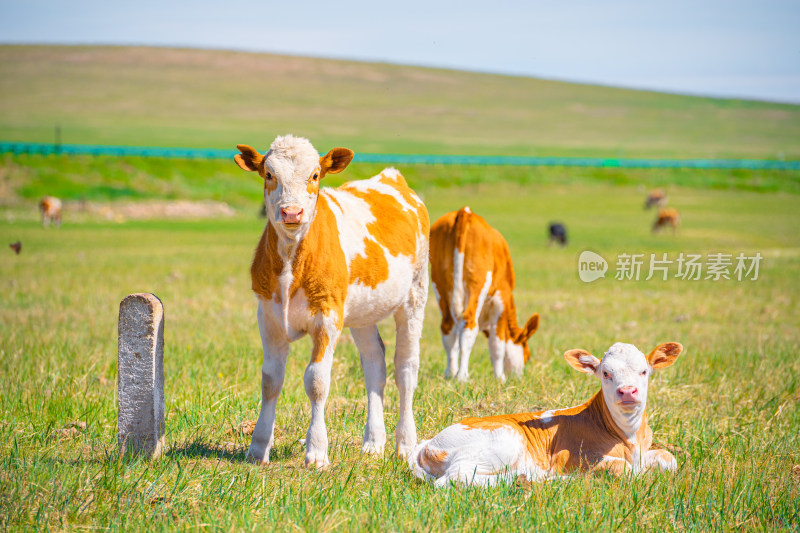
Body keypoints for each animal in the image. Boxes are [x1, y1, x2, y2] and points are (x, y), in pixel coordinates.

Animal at [234, 135, 428, 468]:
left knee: (405, 369)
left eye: (315, 175)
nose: (292, 213)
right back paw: (373, 443)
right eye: (269, 174)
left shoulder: (327, 317)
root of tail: (391, 178)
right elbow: (270, 380)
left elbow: (316, 381)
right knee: (374, 364)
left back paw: (405, 444)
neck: (292, 259)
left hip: (415, 295)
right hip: (362, 312)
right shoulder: (268, 317)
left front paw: (316, 451)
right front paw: (258, 448)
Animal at [412, 340, 680, 486]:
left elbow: (669, 459)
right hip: (503, 441)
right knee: (455, 478)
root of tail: (427, 443)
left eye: (644, 371)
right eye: (605, 373)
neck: (628, 437)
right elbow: (625, 470)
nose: (627, 391)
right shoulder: (570, 458)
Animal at [432, 206, 536, 380]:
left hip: (439, 282)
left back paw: (450, 373)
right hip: (478, 283)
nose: (519, 377)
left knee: (447, 327)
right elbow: (497, 344)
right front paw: (500, 378)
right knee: (469, 324)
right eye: (527, 357)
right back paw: (462, 376)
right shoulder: (501, 300)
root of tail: (465, 212)